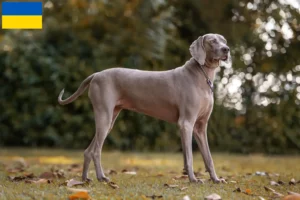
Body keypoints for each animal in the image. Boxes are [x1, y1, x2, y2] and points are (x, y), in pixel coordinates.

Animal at [59, 33, 232, 184]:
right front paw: (193, 179)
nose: (226, 49)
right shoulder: (186, 123)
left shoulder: (200, 127)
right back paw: (101, 177)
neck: (202, 75)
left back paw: (84, 179)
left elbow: (208, 157)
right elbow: (189, 157)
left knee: (89, 150)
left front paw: (216, 179)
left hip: (109, 120)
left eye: (224, 40)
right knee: (96, 151)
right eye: (212, 41)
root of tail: (96, 74)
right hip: (104, 116)